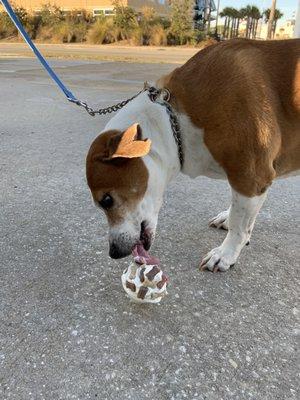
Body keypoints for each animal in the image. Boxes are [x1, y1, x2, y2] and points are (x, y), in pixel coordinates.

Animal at [86, 39, 300, 272]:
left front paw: (226, 253)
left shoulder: (251, 176)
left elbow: (239, 226)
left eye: (107, 200)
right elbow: (240, 212)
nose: (114, 253)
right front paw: (231, 220)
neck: (175, 120)